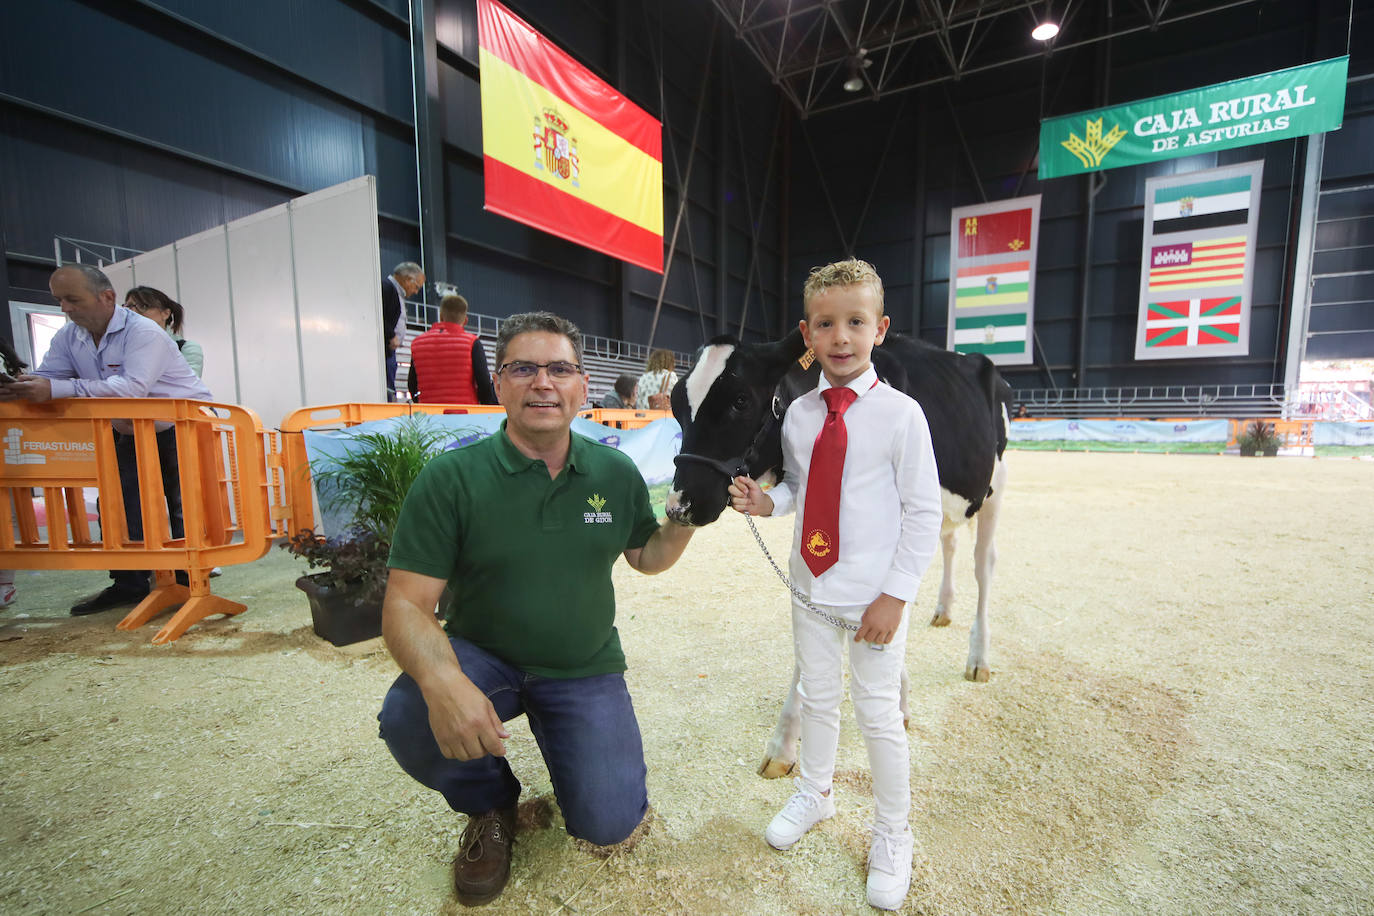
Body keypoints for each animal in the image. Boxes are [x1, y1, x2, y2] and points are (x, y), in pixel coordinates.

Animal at [665, 329, 1011, 780]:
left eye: (740, 400)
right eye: (676, 402)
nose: (678, 507)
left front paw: (785, 743)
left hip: (994, 488)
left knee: (984, 565)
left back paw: (979, 658)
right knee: (948, 545)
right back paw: (943, 610)